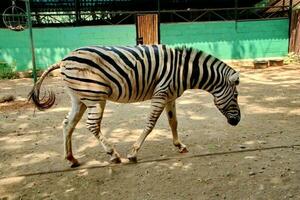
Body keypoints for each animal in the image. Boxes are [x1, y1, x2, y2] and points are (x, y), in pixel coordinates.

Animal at [28, 44, 239, 168]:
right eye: (236, 95)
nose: (237, 121)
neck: (184, 70)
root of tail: (64, 60)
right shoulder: (161, 92)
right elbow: (151, 123)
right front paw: (132, 153)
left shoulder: (170, 96)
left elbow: (174, 122)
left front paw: (180, 146)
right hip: (95, 96)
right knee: (92, 125)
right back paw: (113, 154)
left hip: (79, 98)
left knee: (68, 124)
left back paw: (71, 158)